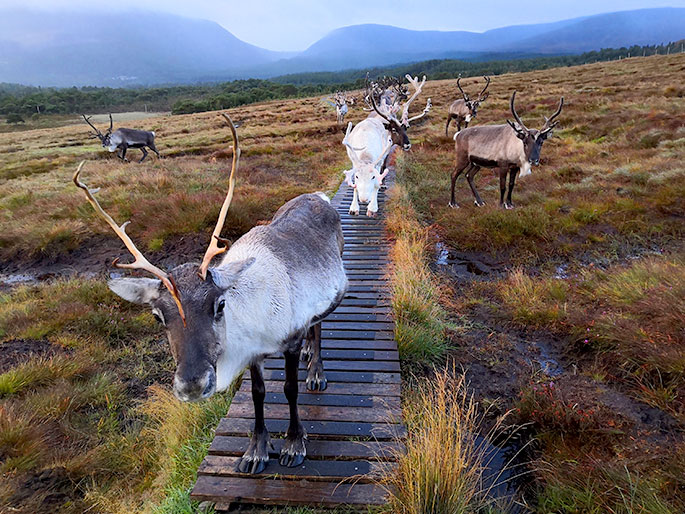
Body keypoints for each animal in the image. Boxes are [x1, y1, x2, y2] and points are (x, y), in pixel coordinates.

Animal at [73, 113, 347, 474]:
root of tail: (318, 196)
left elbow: (289, 389)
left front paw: (293, 443)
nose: (191, 385)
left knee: (318, 324)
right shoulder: (253, 355)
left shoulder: (287, 338)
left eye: (219, 305)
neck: (250, 320)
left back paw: (316, 370)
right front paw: (256, 450)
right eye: (157, 316)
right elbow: (258, 393)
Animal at [342, 74, 431, 216]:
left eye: (406, 128)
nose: (408, 145)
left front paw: (372, 207)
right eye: (394, 129)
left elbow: (378, 181)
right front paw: (354, 207)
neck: (365, 154)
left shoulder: (378, 161)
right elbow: (355, 186)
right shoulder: (354, 162)